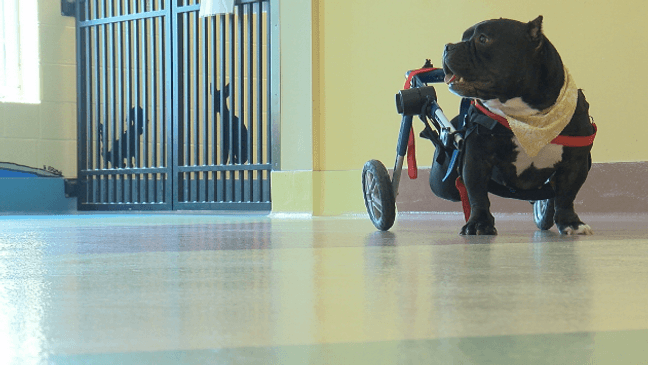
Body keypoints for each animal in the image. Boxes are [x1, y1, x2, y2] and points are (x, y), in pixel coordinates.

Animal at [442, 15, 596, 235]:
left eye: (483, 39)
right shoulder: (476, 157)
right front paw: (479, 223)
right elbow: (477, 194)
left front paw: (570, 222)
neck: (527, 118)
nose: (448, 46)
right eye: (463, 38)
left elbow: (567, 195)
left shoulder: (575, 162)